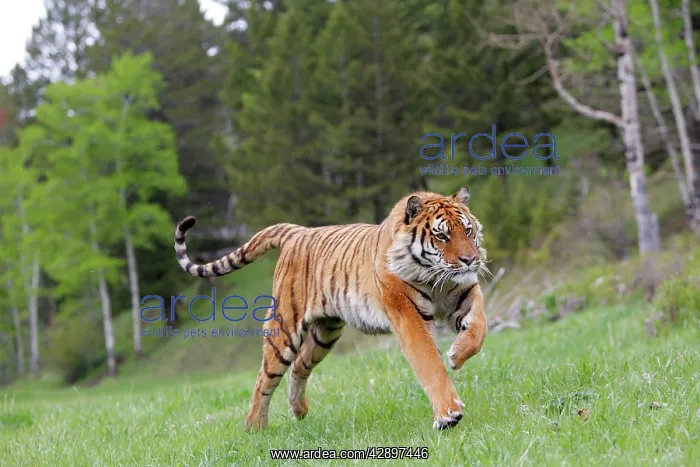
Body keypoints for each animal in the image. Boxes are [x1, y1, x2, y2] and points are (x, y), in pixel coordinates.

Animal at [173, 185, 488, 431]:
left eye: (468, 230)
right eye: (441, 236)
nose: (471, 260)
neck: (437, 280)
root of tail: (297, 232)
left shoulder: (465, 291)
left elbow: (479, 327)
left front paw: (457, 354)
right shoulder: (407, 316)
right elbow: (429, 364)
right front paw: (448, 415)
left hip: (325, 333)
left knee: (299, 366)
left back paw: (299, 411)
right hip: (284, 331)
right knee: (265, 378)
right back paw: (255, 428)